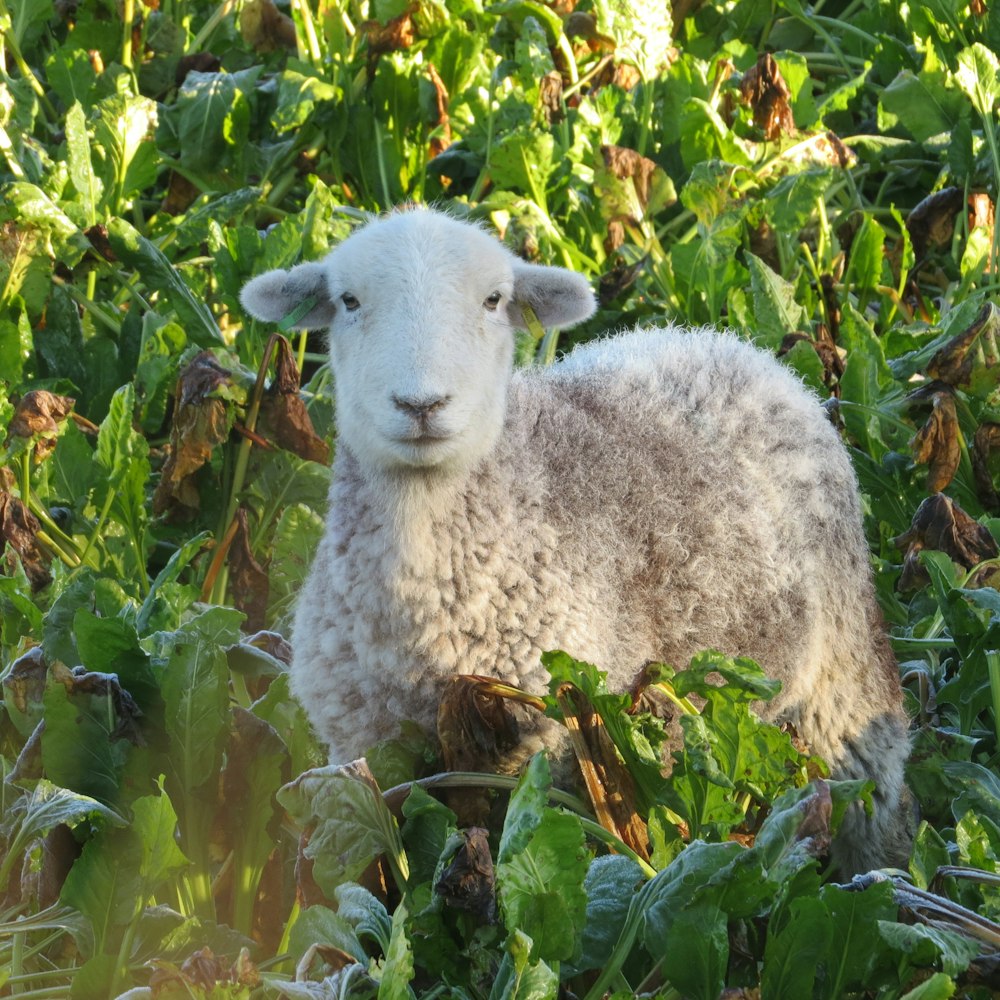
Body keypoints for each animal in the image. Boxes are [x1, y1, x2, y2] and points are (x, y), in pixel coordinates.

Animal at [242, 207, 916, 872]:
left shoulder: (564, 752)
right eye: (349, 301)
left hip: (841, 663)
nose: (421, 403)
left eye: (494, 300)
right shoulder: (365, 752)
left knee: (873, 780)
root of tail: (720, 342)